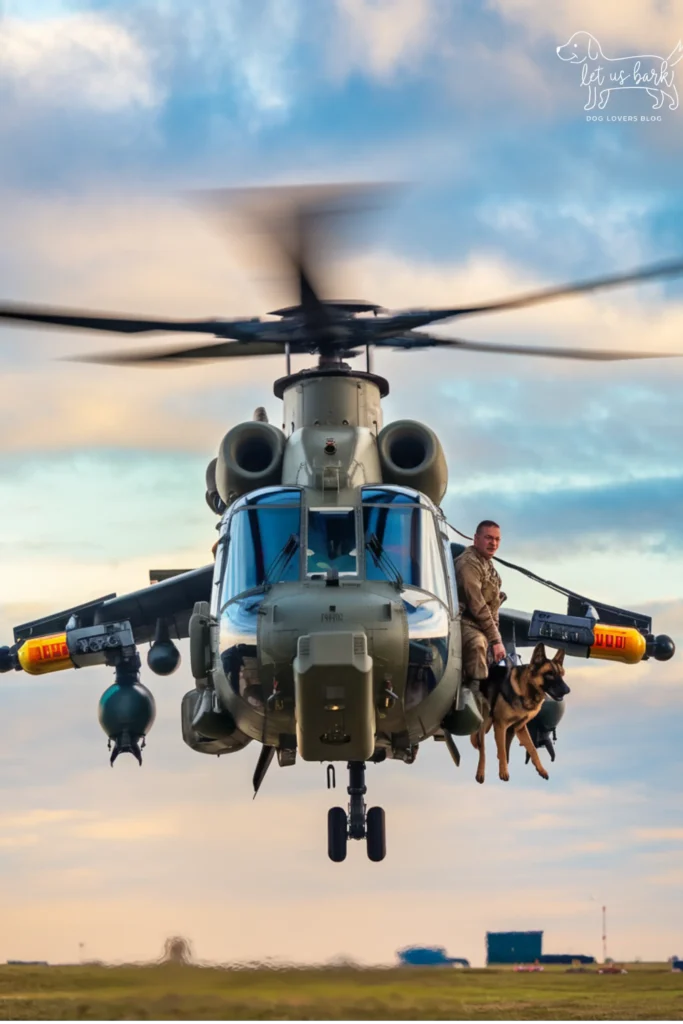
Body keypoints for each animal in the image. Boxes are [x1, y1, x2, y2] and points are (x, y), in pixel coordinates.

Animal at [471, 647, 573, 782]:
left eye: (562, 674)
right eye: (549, 674)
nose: (568, 690)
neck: (525, 690)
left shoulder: (519, 727)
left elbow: (532, 749)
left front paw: (541, 770)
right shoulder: (500, 725)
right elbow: (502, 750)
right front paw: (503, 773)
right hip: (485, 723)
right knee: (482, 749)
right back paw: (480, 774)